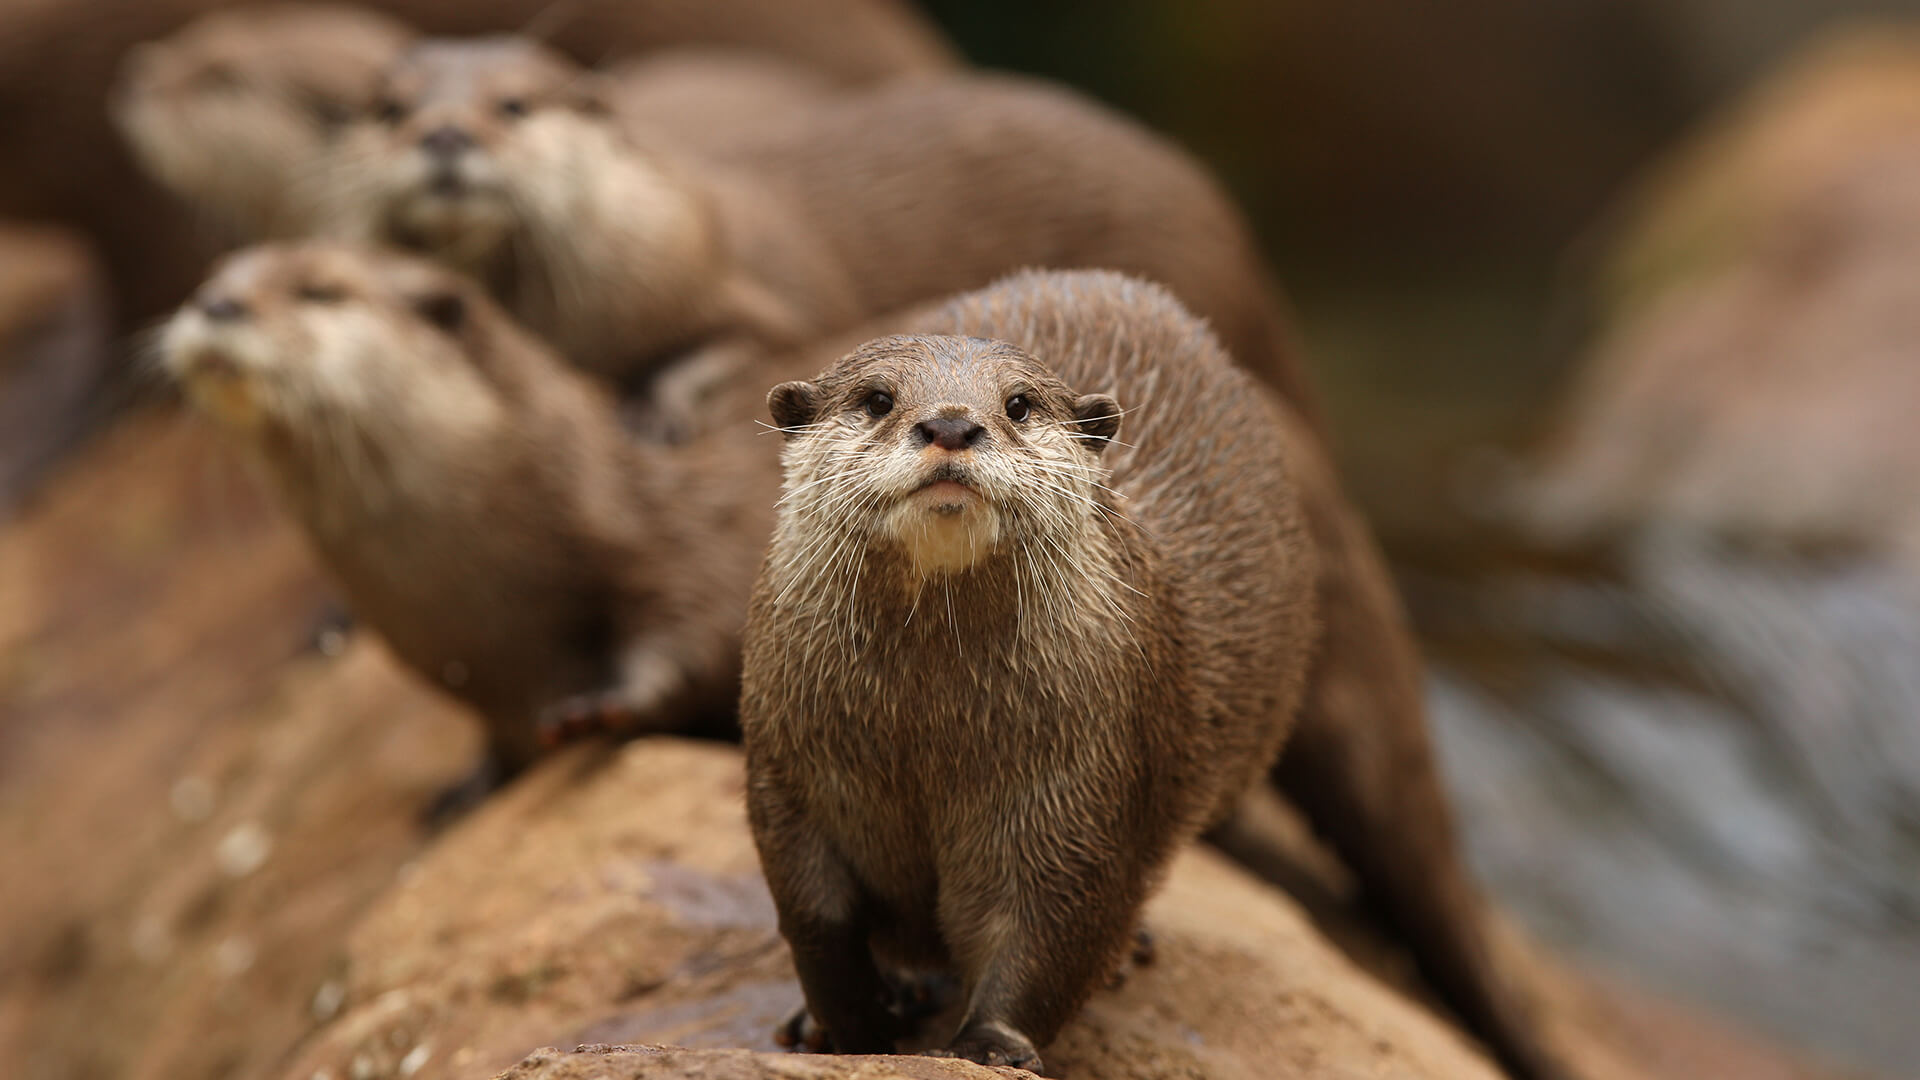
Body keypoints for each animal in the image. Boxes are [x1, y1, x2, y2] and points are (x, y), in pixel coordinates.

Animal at [159, 237, 771, 807]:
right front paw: (471, 786)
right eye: (211, 280)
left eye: (321, 292)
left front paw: (603, 704)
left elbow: (694, 624)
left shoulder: (694, 537)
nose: (217, 304)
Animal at [322, 41, 1328, 428]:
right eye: (389, 109)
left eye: (514, 106)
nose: (443, 134)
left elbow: (751, 342)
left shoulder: (756, 289)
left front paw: (658, 404)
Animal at [741, 270, 1566, 1076]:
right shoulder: (789, 773)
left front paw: (990, 1043)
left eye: (1019, 405)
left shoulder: (1087, 781)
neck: (927, 737)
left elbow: (1055, 920)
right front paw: (846, 1024)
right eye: (878, 399)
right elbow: (814, 919)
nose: (950, 424)